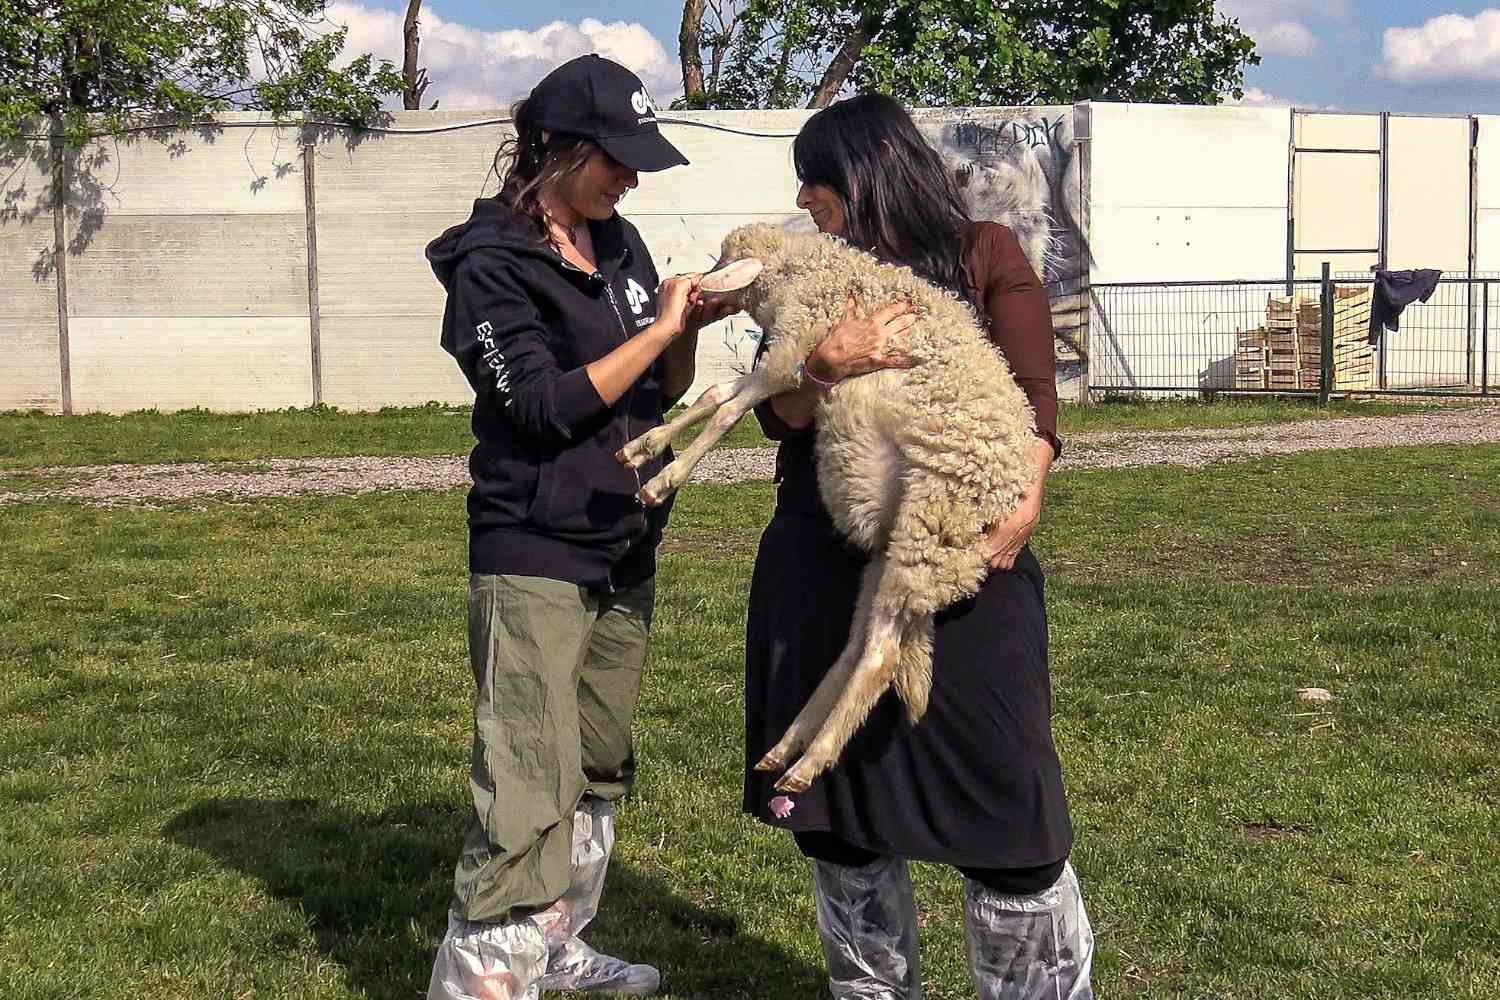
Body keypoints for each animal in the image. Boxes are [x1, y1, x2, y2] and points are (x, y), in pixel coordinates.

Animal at [617, 223, 1038, 794]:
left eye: (725, 260)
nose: (700, 292)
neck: (799, 267)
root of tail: (1002, 498)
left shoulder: (796, 342)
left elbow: (727, 410)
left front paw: (662, 481)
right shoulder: (791, 361)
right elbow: (715, 394)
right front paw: (642, 448)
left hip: (930, 523)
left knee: (880, 658)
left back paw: (808, 763)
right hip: (895, 550)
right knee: (856, 647)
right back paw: (784, 750)